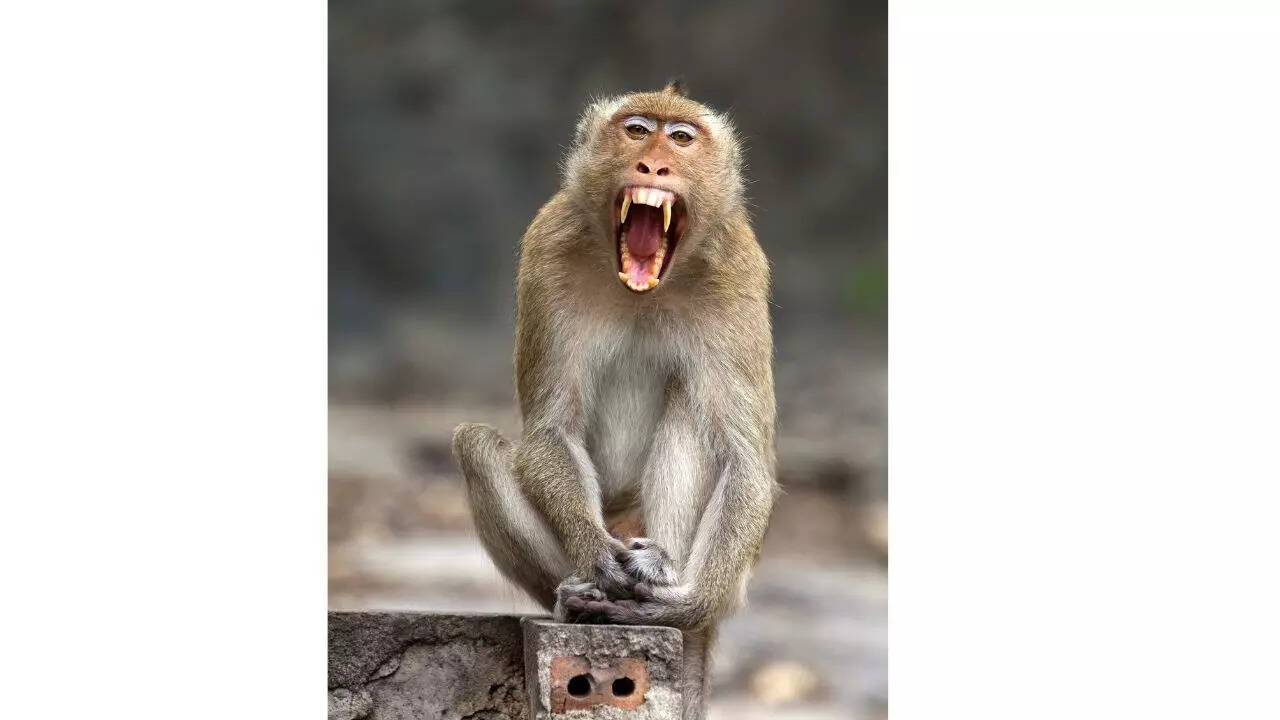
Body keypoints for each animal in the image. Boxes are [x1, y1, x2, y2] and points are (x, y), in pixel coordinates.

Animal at [452, 82, 776, 720]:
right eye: (636, 131)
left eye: (681, 138)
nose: (653, 165)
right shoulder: (548, 251)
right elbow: (551, 429)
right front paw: (598, 560)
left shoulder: (738, 273)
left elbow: (744, 459)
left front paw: (686, 602)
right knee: (476, 445)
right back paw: (582, 597)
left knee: (691, 411)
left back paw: (664, 587)